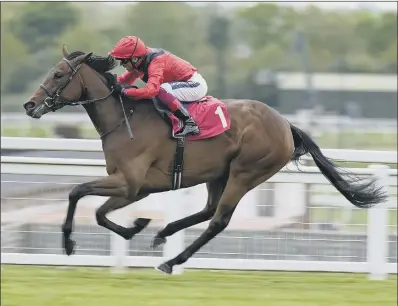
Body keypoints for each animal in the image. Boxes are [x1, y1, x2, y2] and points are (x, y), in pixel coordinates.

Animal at [22, 45, 388, 274]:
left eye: (58, 74)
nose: (29, 105)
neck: (126, 119)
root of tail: (286, 124)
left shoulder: (130, 183)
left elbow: (80, 195)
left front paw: (73, 241)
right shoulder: (137, 188)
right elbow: (94, 208)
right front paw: (136, 226)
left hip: (245, 172)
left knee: (218, 220)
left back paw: (171, 261)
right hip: (218, 174)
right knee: (209, 210)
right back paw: (164, 232)